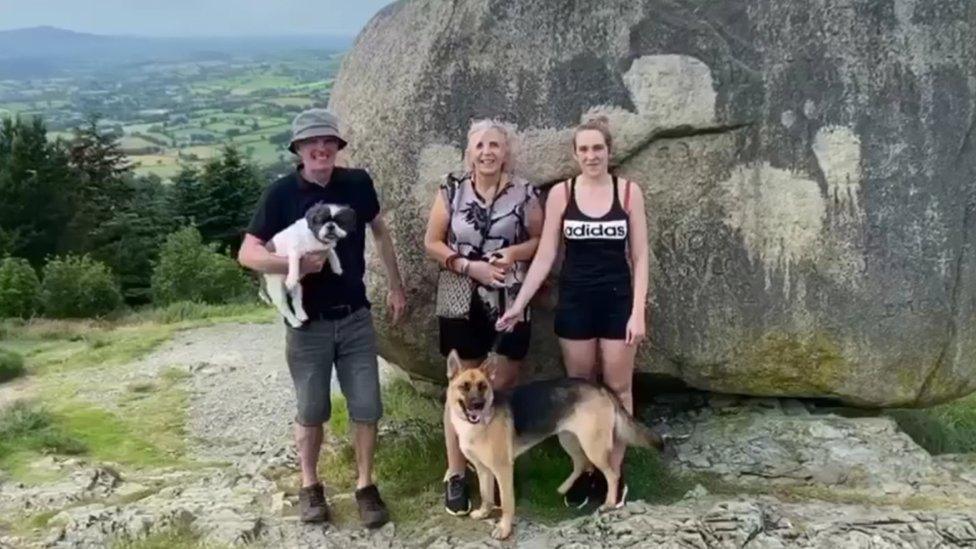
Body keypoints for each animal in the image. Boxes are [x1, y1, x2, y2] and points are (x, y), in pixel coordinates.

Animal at [448, 348, 664, 536]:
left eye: (483, 386)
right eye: (464, 387)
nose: (477, 405)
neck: (480, 422)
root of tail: (601, 387)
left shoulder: (503, 468)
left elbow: (507, 502)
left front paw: (504, 529)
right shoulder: (483, 469)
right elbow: (485, 494)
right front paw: (484, 512)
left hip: (593, 446)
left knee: (612, 474)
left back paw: (609, 503)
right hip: (569, 439)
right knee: (582, 463)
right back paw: (564, 488)